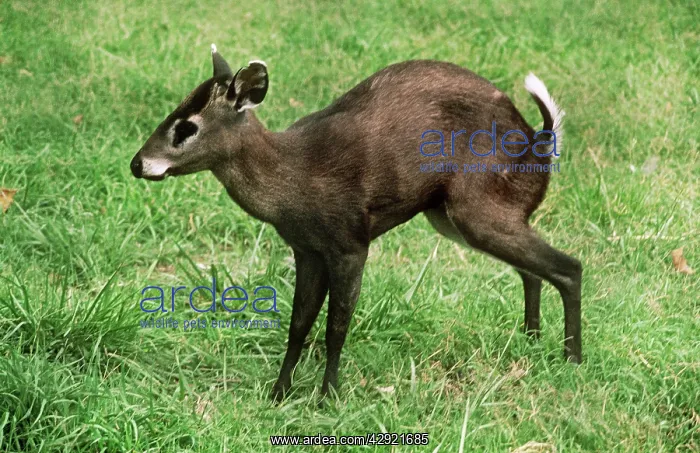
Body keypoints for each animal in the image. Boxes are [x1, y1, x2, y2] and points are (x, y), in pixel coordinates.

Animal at [130, 44, 582, 402]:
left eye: (187, 126)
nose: (138, 164)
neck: (294, 178)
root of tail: (539, 146)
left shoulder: (350, 243)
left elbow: (336, 328)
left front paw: (328, 397)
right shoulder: (307, 250)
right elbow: (298, 325)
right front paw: (279, 393)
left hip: (478, 209)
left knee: (569, 266)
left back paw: (572, 358)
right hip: (453, 215)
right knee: (533, 271)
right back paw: (531, 340)